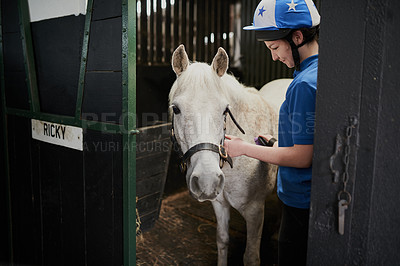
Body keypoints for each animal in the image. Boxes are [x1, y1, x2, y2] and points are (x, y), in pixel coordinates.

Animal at [169, 44, 290, 264]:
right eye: (176, 109)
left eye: (225, 110)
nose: (207, 179)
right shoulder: (219, 203)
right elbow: (222, 241)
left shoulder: (255, 211)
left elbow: (251, 256)